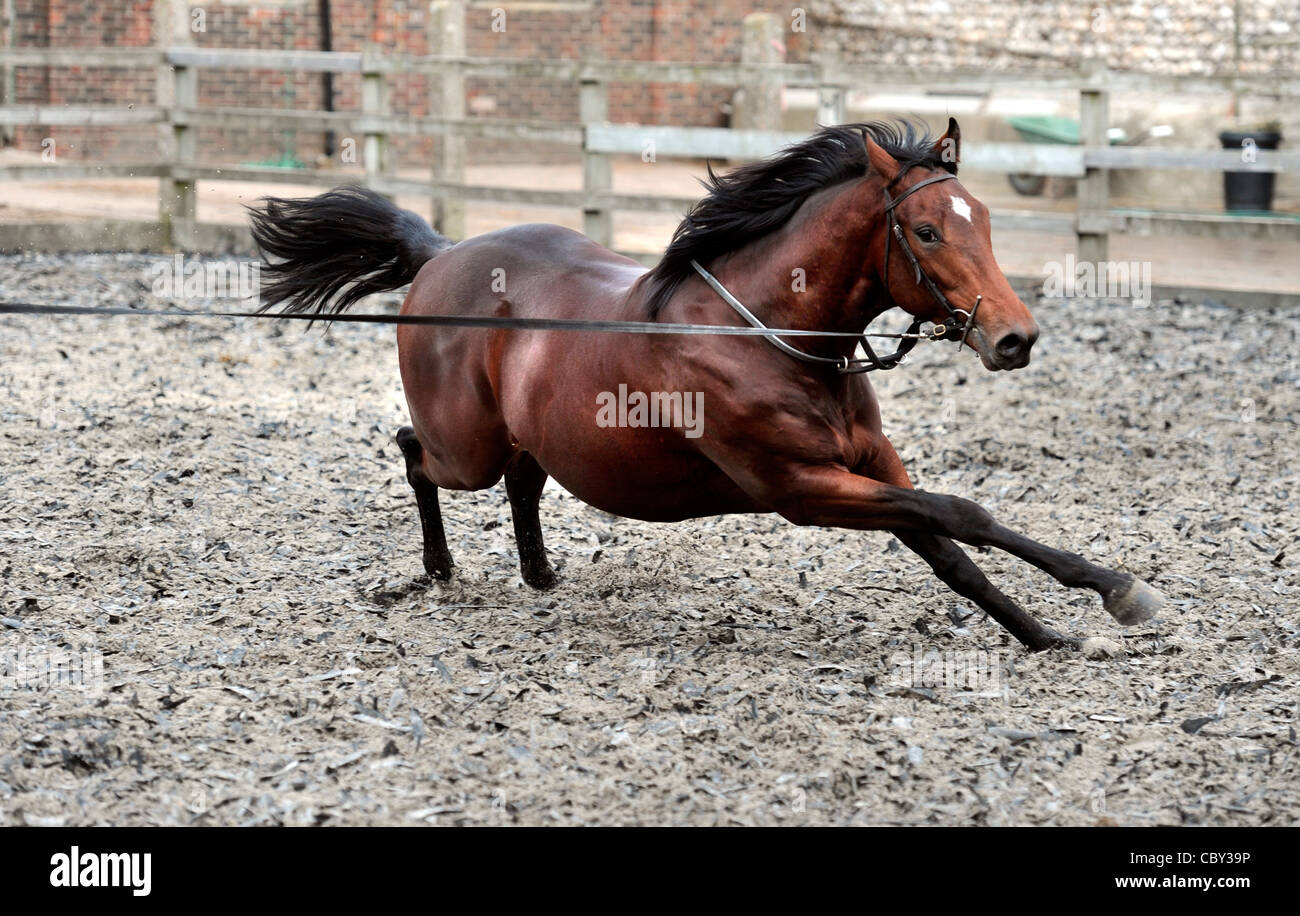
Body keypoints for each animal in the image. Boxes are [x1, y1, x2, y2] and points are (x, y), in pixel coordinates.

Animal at [247, 118, 1163, 652]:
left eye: (987, 219)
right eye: (929, 230)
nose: (1015, 338)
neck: (774, 339)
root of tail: (439, 254)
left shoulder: (871, 467)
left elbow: (953, 545)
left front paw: (1054, 628)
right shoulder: (802, 488)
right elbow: (958, 514)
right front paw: (1115, 594)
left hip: (524, 434)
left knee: (522, 479)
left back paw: (540, 574)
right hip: (461, 446)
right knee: (415, 452)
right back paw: (438, 569)